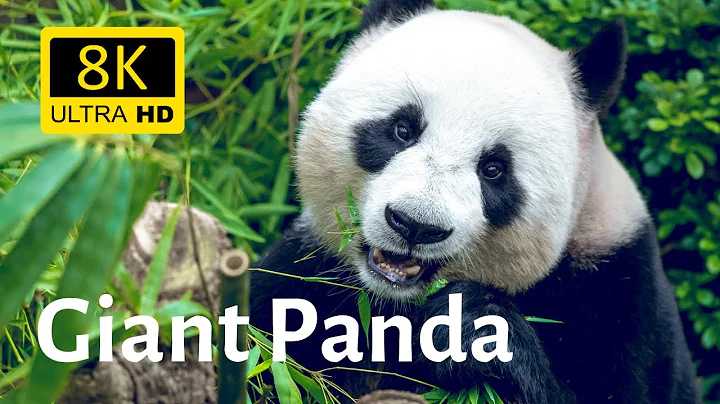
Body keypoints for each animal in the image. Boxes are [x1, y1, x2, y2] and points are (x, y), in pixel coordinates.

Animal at [249, 1, 702, 403]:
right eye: (402, 129)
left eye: (494, 169)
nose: (416, 225)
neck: (392, 303)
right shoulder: (305, 274)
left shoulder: (617, 291)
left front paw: (469, 328)